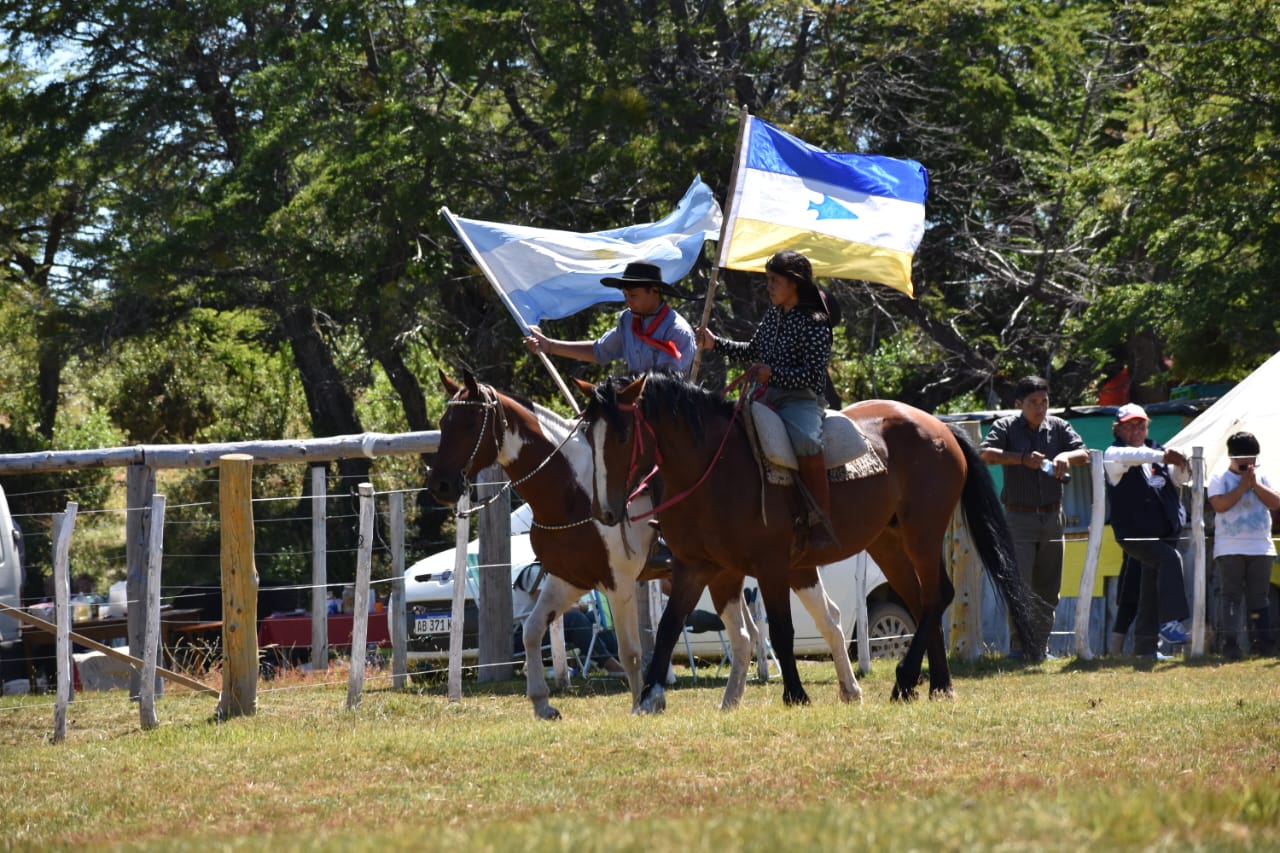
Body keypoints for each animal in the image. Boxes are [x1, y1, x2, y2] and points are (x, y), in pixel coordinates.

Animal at [422, 371, 860, 717]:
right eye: (444, 422)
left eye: (468, 424)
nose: (440, 486)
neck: (572, 492)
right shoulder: (569, 580)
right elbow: (531, 631)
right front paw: (543, 704)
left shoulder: (618, 583)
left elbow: (631, 651)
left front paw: (643, 700)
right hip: (753, 572)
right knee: (767, 631)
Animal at [581, 371, 1049, 712]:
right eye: (588, 436)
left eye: (622, 435)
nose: (605, 510)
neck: (714, 470)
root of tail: (942, 429)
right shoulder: (698, 568)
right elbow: (667, 627)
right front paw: (648, 698)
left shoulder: (771, 566)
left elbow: (782, 630)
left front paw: (795, 694)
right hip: (889, 542)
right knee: (923, 601)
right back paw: (937, 684)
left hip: (922, 534)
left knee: (936, 596)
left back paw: (904, 680)